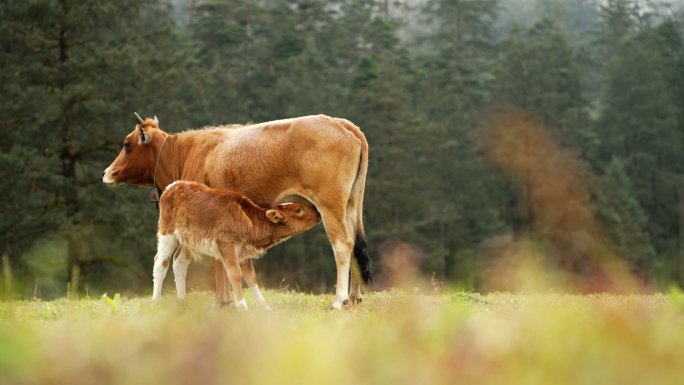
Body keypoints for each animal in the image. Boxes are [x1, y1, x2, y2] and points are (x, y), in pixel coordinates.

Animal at [152, 180, 320, 308]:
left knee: (179, 262)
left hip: (188, 239)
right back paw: (156, 301)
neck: (250, 221)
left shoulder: (243, 250)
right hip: (167, 232)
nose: (317, 212)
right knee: (161, 263)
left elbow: (251, 277)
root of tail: (173, 186)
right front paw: (242, 306)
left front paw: (264, 307)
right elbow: (235, 274)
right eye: (298, 209)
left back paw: (182, 300)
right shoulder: (226, 243)